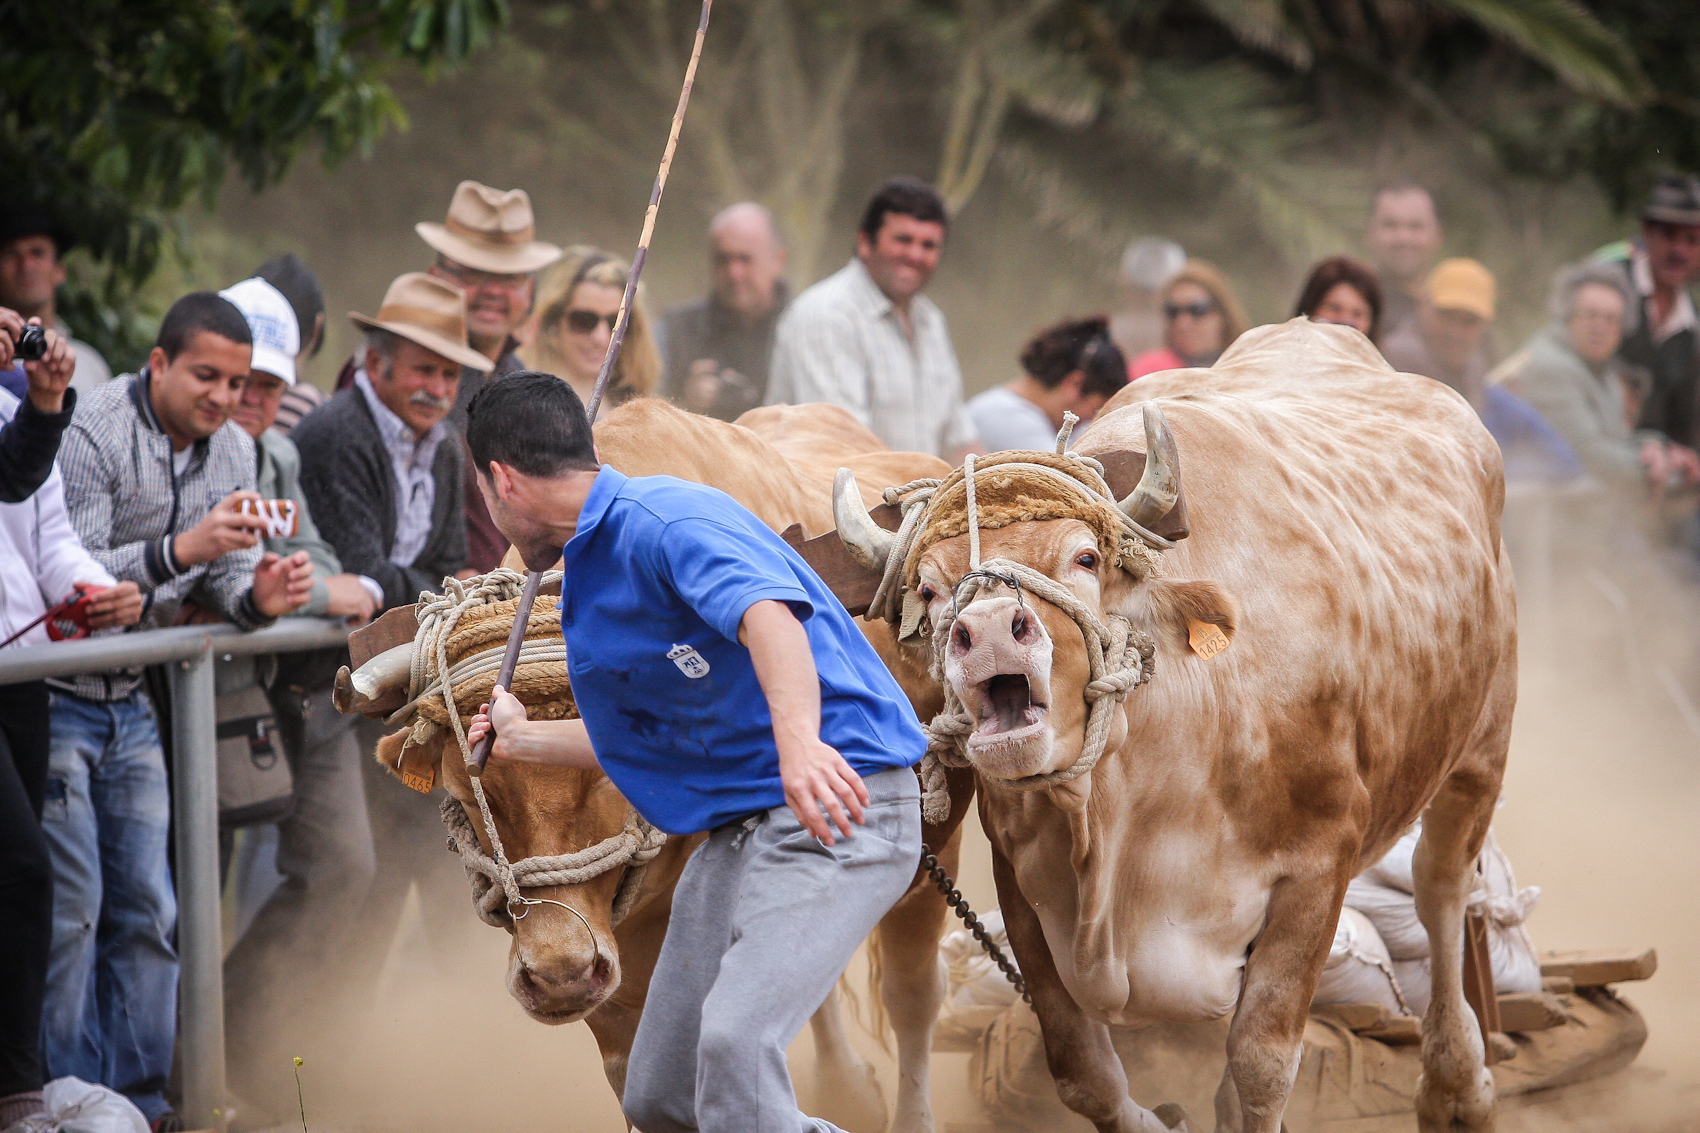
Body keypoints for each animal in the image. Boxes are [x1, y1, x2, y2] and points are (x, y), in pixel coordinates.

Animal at [830, 319, 1515, 1132]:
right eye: (930, 589)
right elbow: (1086, 1072)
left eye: (1085, 556)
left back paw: (1457, 1084)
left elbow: (1261, 1065)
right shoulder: (1023, 891)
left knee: (1442, 887)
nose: (991, 627)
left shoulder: (1320, 867)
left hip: (1481, 745)